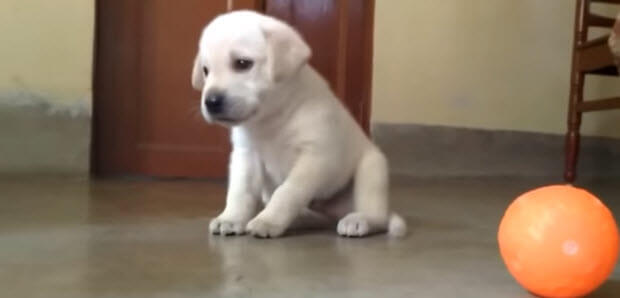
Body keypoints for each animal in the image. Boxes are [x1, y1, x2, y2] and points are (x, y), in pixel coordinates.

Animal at [194, 11, 406, 237]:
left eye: (242, 63)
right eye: (206, 70)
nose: (211, 102)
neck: (272, 118)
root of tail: (336, 213)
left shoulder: (315, 157)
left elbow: (288, 191)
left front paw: (268, 220)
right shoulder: (246, 156)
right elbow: (240, 192)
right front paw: (231, 218)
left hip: (371, 169)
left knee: (377, 215)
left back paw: (360, 220)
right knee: (315, 216)